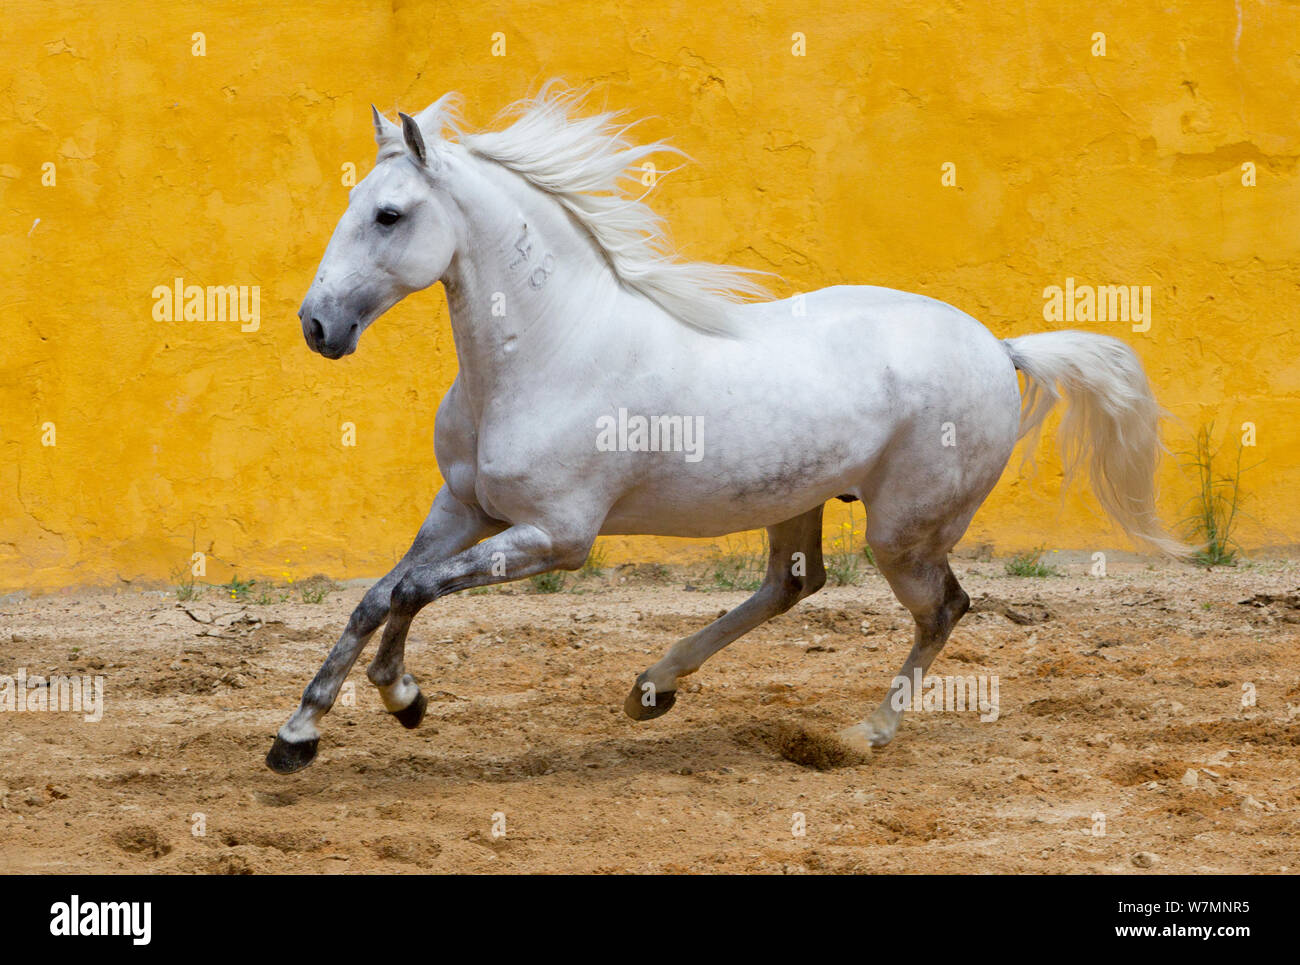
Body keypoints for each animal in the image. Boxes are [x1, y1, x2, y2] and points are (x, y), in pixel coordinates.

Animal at [269, 87, 1185, 775]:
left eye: (389, 215)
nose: (317, 325)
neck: (551, 348)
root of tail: (1001, 347)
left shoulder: (556, 536)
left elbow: (411, 590)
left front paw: (398, 700)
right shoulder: (465, 508)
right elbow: (380, 593)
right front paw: (307, 730)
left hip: (904, 530)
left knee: (944, 607)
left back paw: (865, 733)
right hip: (799, 498)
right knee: (792, 584)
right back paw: (652, 688)